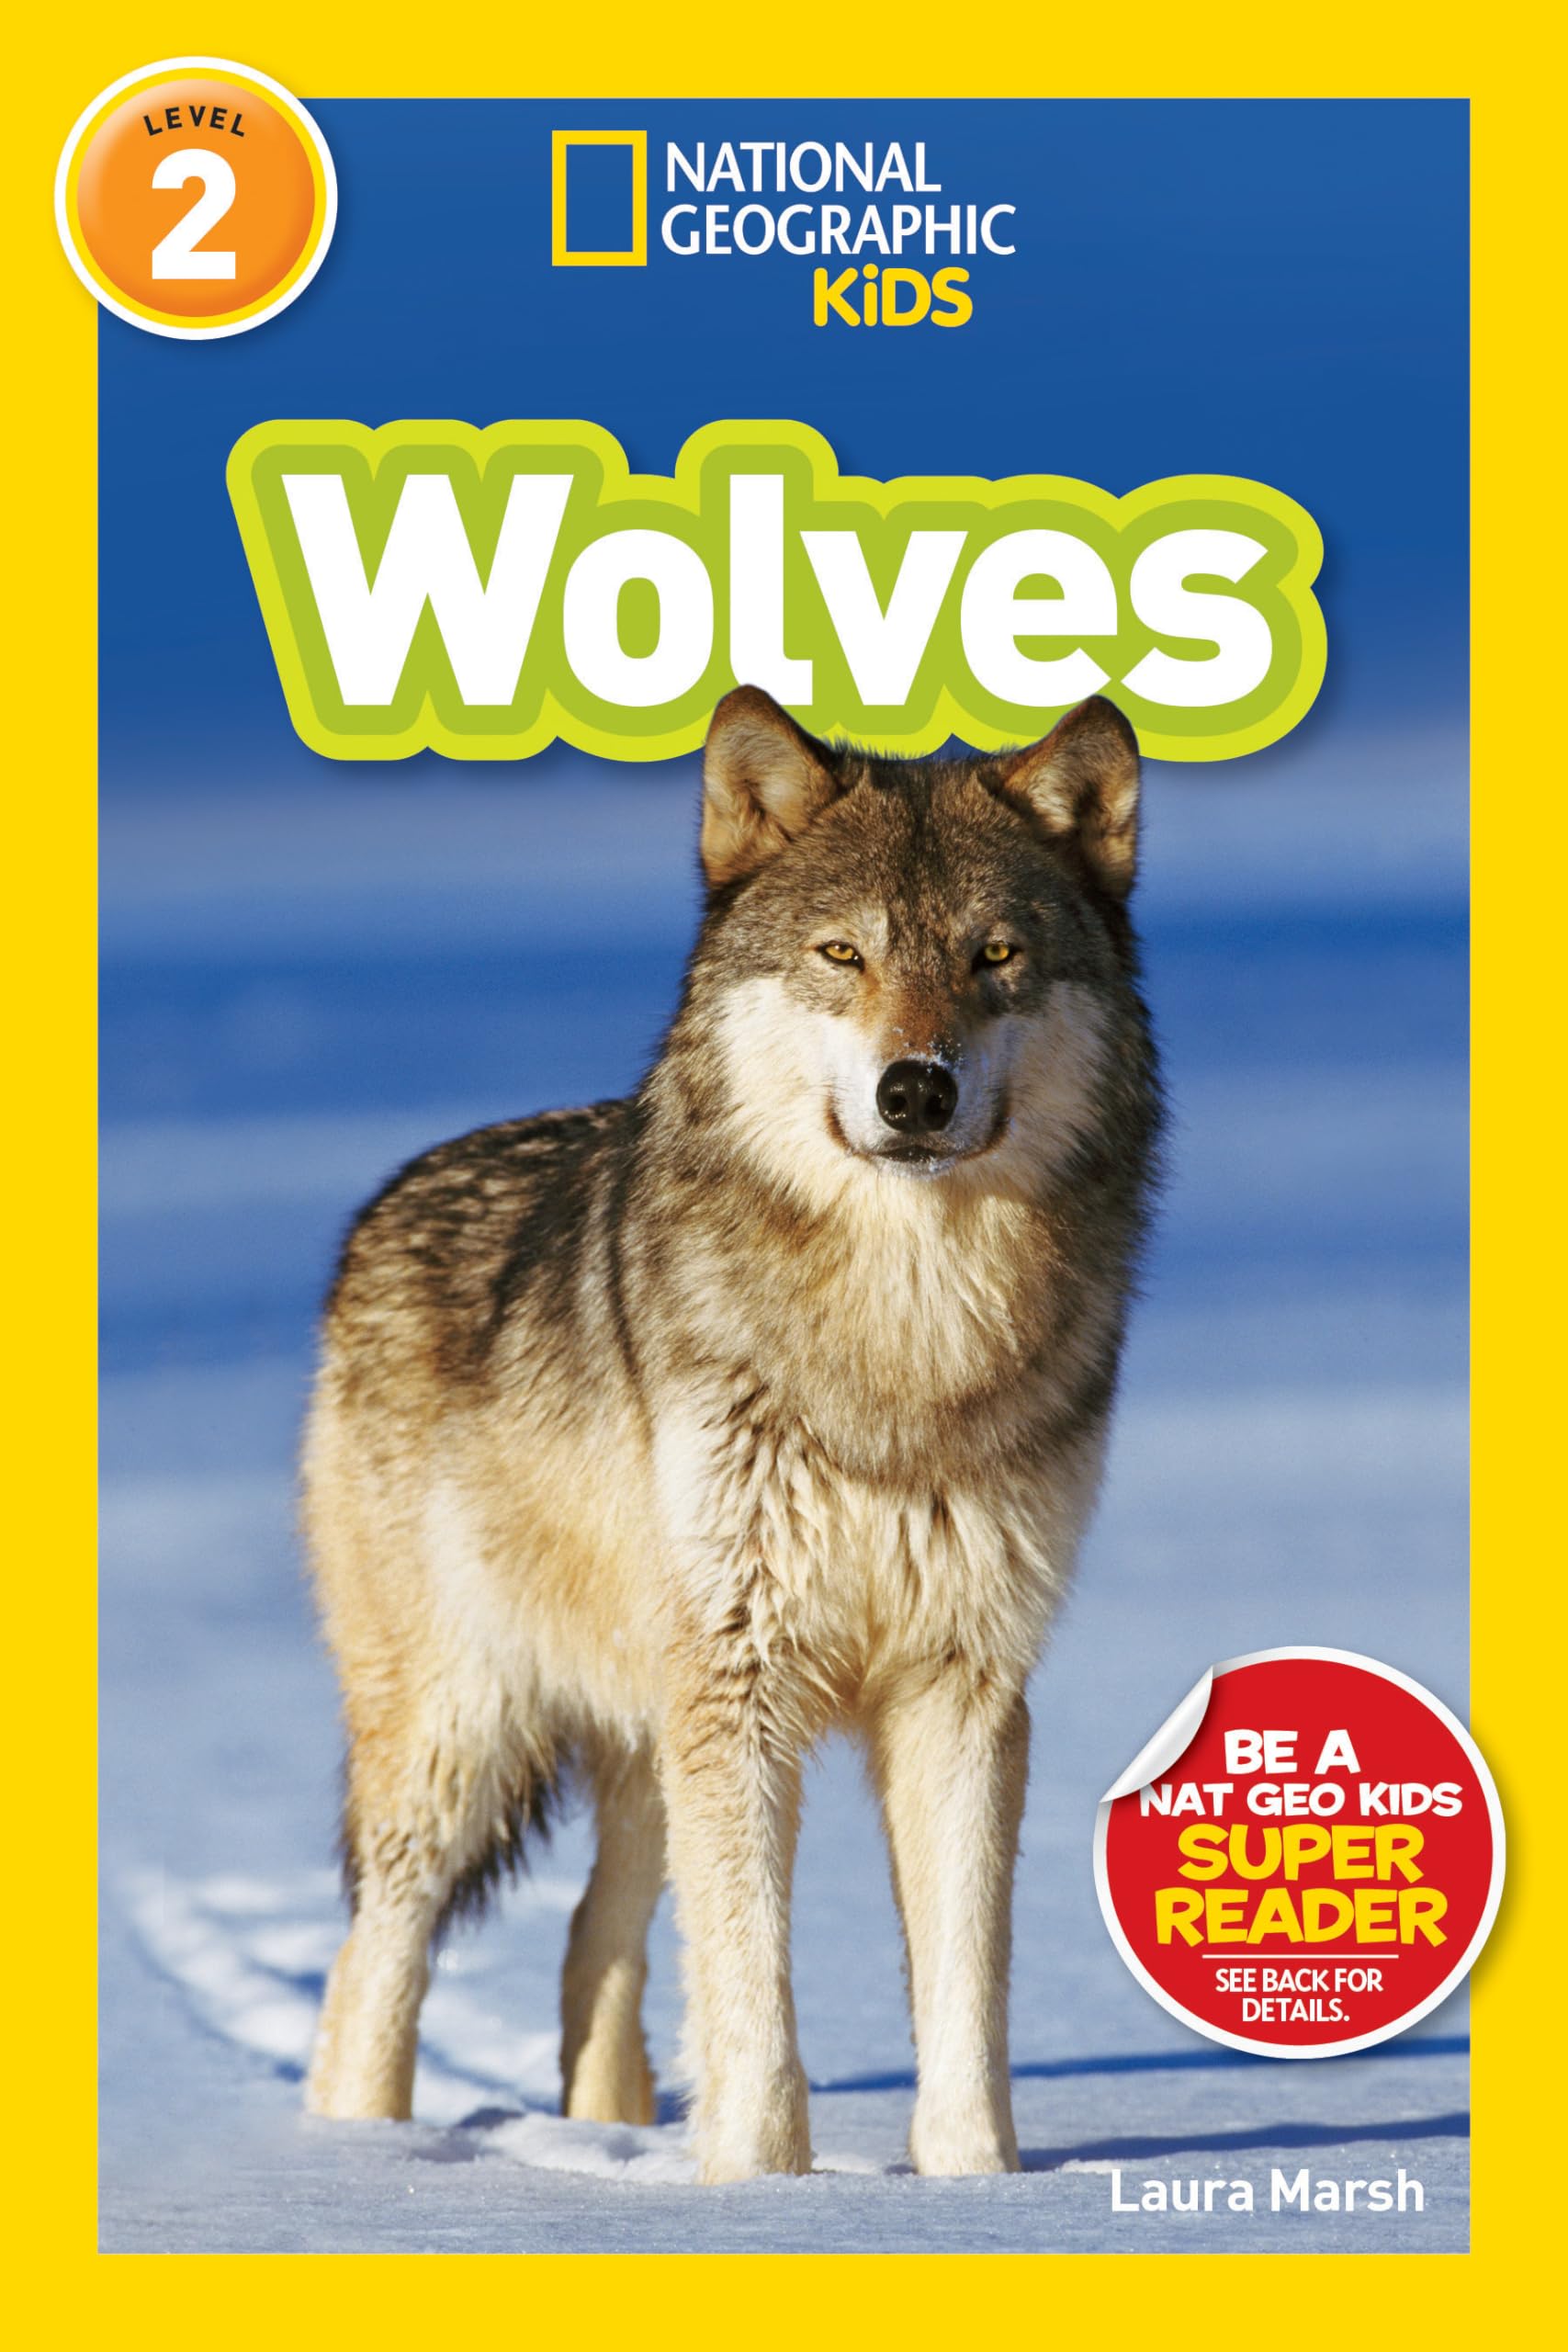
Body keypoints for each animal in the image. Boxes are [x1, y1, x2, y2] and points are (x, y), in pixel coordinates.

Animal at [302, 686, 1161, 2182]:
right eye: (842, 954)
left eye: (994, 956)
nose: (915, 1090)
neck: (899, 1341)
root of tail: (385, 1200)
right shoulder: (744, 1680)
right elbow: (754, 1995)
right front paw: (760, 2194)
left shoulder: (959, 1684)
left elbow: (964, 1989)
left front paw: (974, 2188)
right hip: (461, 1736)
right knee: (374, 1964)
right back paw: (358, 2160)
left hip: (645, 1738)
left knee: (597, 1943)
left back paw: (605, 2137)